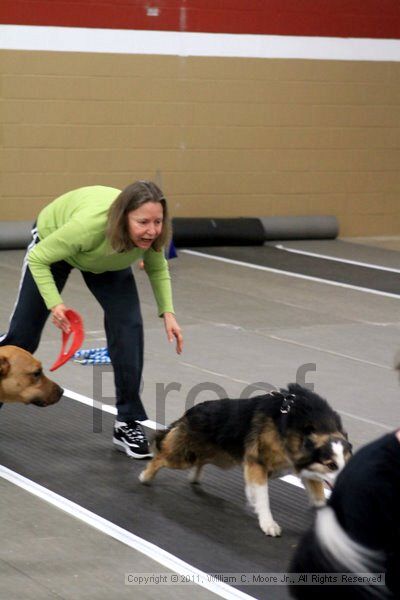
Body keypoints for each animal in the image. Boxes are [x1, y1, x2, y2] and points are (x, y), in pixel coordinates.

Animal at [139, 386, 352, 536]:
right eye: (331, 465)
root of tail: (190, 412)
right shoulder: (257, 463)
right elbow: (263, 496)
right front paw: (268, 523)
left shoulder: (306, 469)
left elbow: (318, 496)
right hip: (184, 455)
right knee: (160, 458)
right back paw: (145, 476)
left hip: (215, 455)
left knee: (199, 461)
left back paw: (194, 478)